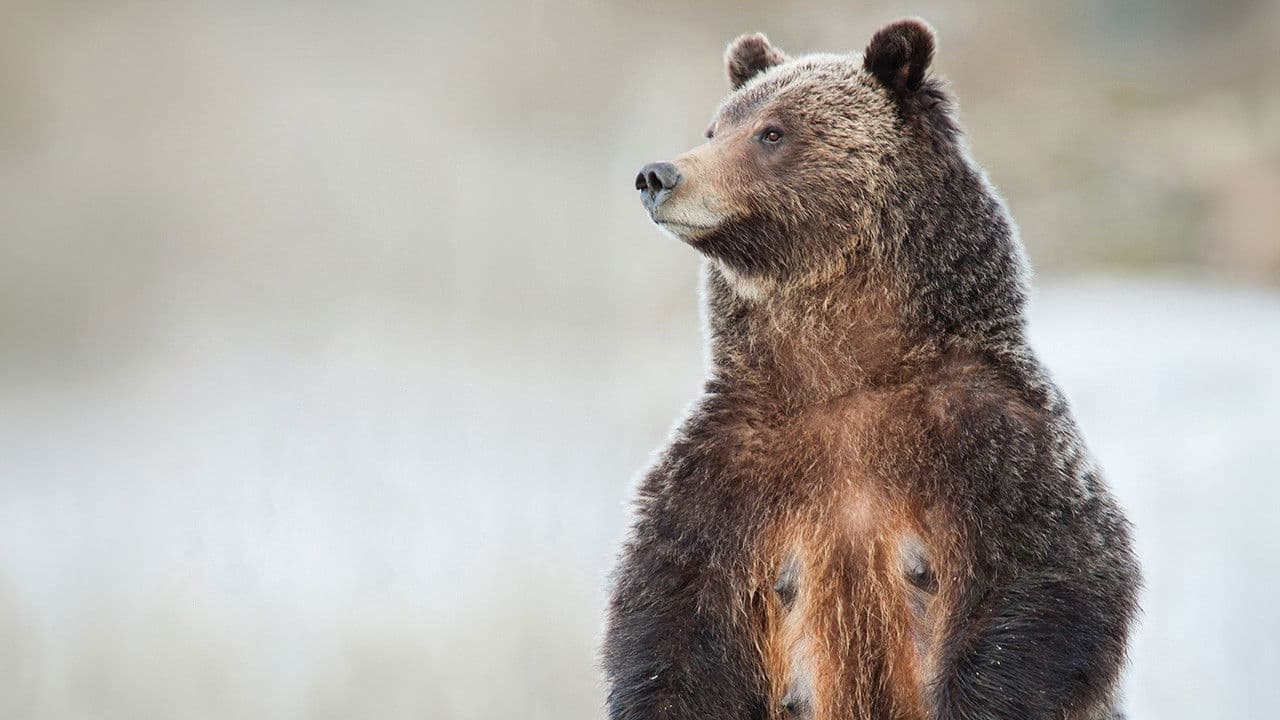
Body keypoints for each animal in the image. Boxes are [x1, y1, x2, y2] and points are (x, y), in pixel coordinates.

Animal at [603, 18, 1140, 720]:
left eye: (772, 131)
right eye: (715, 128)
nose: (657, 175)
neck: (846, 369)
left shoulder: (994, 438)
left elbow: (1050, 581)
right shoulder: (723, 468)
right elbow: (671, 623)